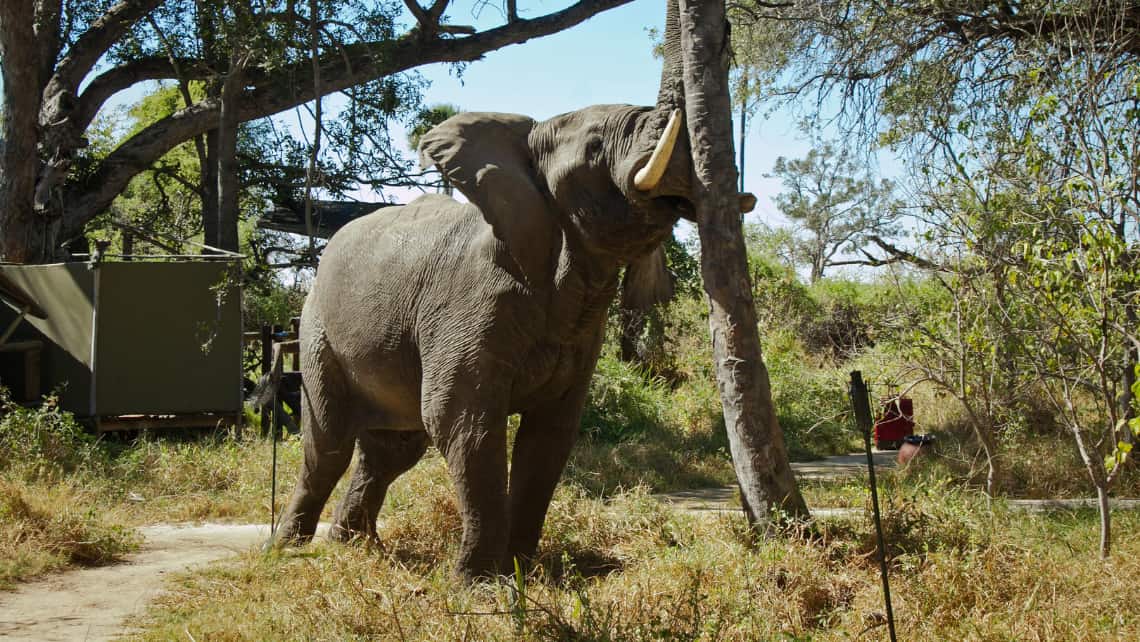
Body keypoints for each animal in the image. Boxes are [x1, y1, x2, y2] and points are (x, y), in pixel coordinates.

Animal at [274, 103, 752, 579]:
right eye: (595, 146)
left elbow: (549, 434)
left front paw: (521, 573)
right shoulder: (467, 306)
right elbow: (462, 422)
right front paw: (476, 583)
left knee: (391, 451)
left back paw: (355, 545)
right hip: (316, 330)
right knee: (329, 444)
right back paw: (288, 548)